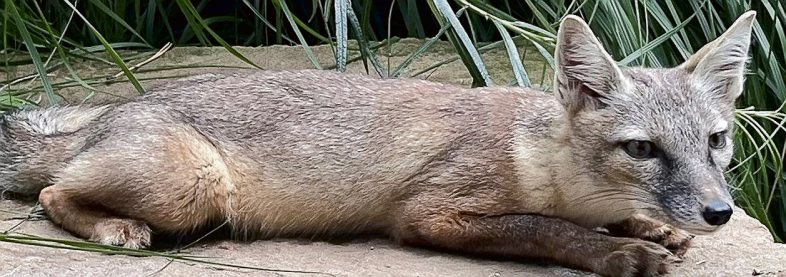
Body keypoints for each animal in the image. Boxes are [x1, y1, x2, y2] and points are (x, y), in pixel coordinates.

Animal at [0, 11, 756, 276]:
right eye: (643, 149)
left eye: (717, 141)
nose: (719, 212)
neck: (544, 160)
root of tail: (119, 108)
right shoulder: (431, 213)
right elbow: (545, 228)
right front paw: (622, 251)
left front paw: (648, 229)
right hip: (193, 190)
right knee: (50, 193)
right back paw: (114, 227)